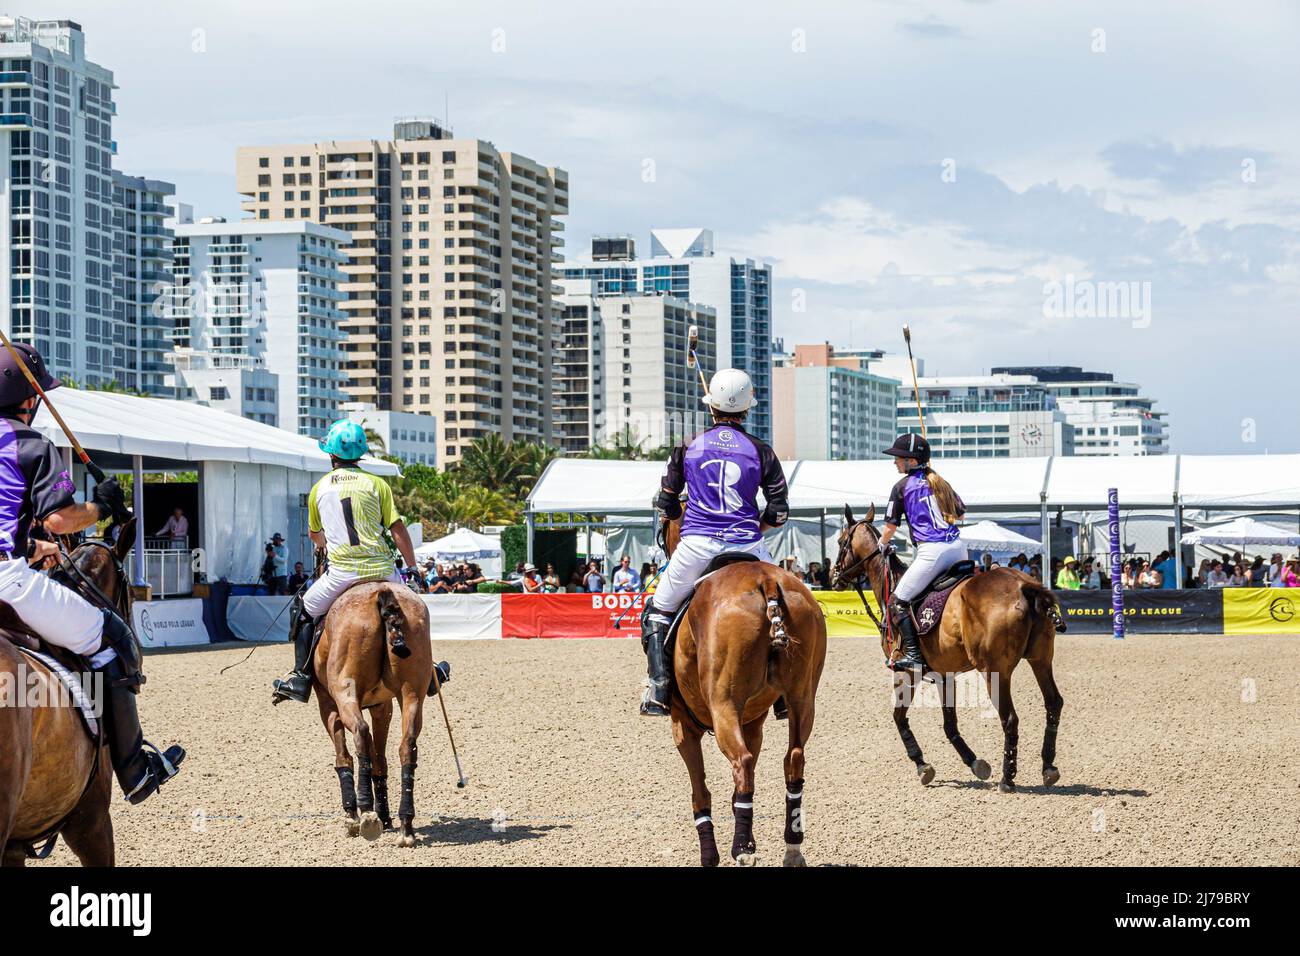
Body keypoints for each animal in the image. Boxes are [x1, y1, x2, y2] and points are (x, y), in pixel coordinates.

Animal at [313, 582, 431, 842]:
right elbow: (379, 759)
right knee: (407, 745)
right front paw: (385, 816)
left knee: (360, 732)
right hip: (412, 692)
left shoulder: (327, 704)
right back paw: (405, 824)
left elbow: (344, 756)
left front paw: (354, 814)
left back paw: (365, 812)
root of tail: (382, 592)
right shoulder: (382, 706)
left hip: (344, 690)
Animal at [665, 515, 826, 868]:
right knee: (794, 758)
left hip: (724, 705)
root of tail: (766, 580)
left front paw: (710, 855)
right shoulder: (754, 724)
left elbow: (700, 791)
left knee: (742, 761)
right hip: (803, 697)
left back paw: (742, 848)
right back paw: (792, 847)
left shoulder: (682, 725)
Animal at [832, 504, 1066, 796]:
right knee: (1053, 703)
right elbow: (949, 724)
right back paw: (1048, 767)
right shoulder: (944, 674)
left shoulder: (905, 671)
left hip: (995, 671)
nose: (834, 577)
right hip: (1041, 659)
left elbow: (898, 717)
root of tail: (1024, 585)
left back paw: (1007, 779)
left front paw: (922, 766)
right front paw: (976, 763)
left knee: (1010, 718)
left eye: (841, 541)